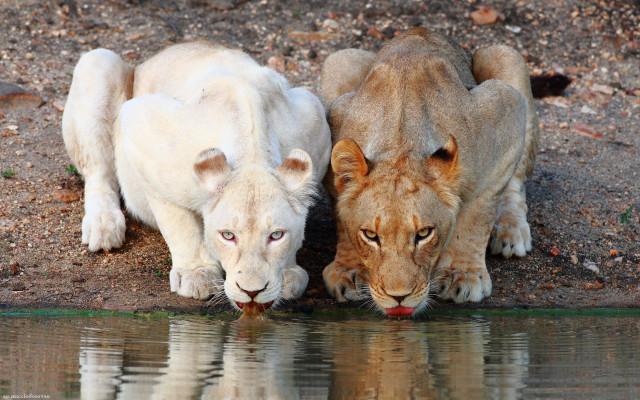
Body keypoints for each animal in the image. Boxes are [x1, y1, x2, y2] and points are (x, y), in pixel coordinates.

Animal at [62, 42, 331, 313]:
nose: (252, 292)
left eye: (276, 235)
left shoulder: (314, 117)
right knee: (98, 172)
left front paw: (288, 274)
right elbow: (178, 221)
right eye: (227, 235)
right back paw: (103, 226)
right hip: (98, 63)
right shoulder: (141, 126)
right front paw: (197, 274)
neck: (252, 151)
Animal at [321, 27, 538, 316]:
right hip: (340, 60)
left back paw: (510, 231)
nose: (398, 297)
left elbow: (477, 215)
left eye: (424, 234)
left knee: (515, 184)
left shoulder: (505, 110)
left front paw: (462, 274)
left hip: (505, 56)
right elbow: (342, 219)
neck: (401, 142)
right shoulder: (335, 123)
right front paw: (350, 270)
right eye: (370, 236)